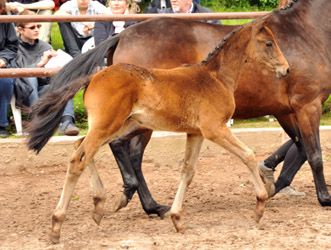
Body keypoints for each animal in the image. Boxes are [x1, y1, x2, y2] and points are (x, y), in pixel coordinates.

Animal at [28, 0, 331, 217]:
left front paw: (273, 183)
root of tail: (121, 36)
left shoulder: (287, 110)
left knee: (124, 151)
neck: (307, 32)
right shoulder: (307, 105)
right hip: (140, 120)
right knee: (123, 149)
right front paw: (324, 198)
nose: (285, 69)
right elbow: (314, 153)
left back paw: (148, 204)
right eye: (269, 43)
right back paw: (138, 198)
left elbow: (300, 148)